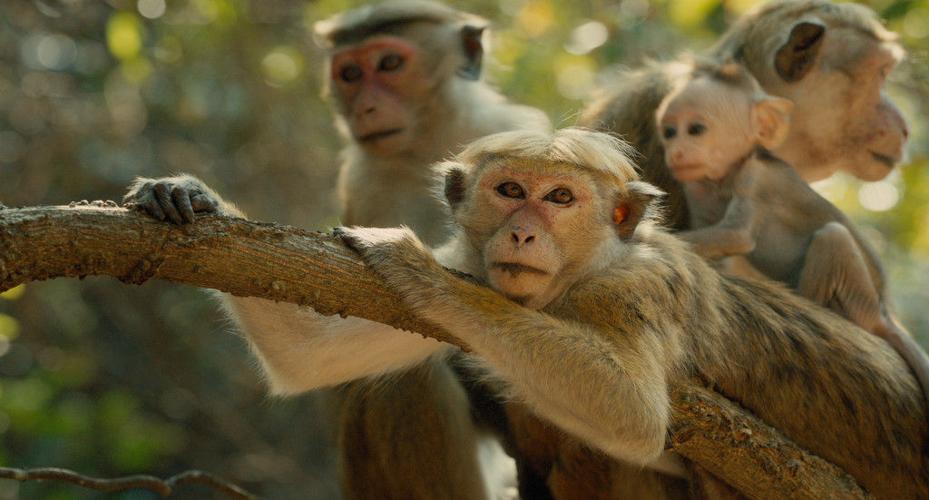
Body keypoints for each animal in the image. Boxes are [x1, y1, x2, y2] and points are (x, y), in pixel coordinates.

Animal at [125, 2, 550, 499]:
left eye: (389, 64)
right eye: (349, 74)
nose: (365, 107)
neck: (430, 145)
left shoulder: (512, 132)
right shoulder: (367, 181)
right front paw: (190, 194)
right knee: (397, 383)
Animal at [127, 128, 929, 498]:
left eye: (561, 198)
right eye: (510, 190)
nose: (522, 232)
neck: (570, 282)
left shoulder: (635, 288)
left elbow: (632, 415)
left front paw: (417, 269)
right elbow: (308, 353)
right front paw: (191, 194)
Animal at [654, 59, 929, 407]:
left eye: (696, 130)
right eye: (669, 132)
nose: (675, 153)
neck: (725, 177)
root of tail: (884, 311)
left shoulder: (756, 177)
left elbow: (737, 235)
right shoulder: (697, 186)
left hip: (861, 302)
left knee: (833, 235)